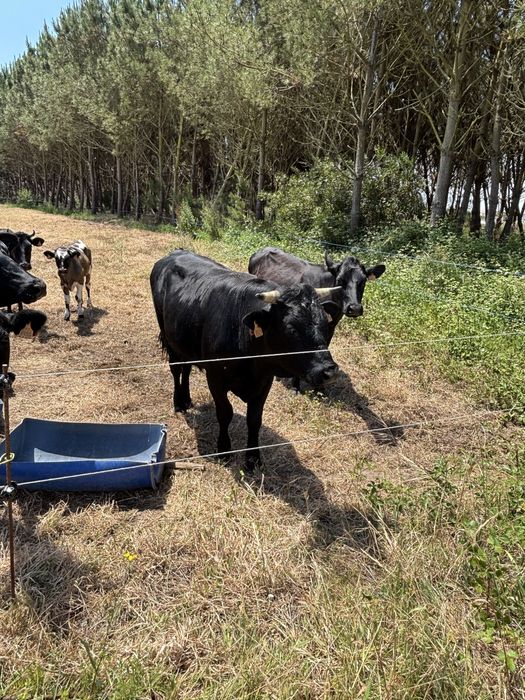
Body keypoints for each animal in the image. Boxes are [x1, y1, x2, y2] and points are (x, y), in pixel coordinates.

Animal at [150, 249, 341, 471]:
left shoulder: (264, 381)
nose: (329, 371)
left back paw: (187, 398)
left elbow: (254, 419)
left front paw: (253, 458)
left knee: (186, 368)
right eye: (291, 328)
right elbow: (225, 413)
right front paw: (224, 450)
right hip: (167, 335)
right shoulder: (215, 378)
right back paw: (179, 402)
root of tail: (176, 252)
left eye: (324, 324)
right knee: (176, 369)